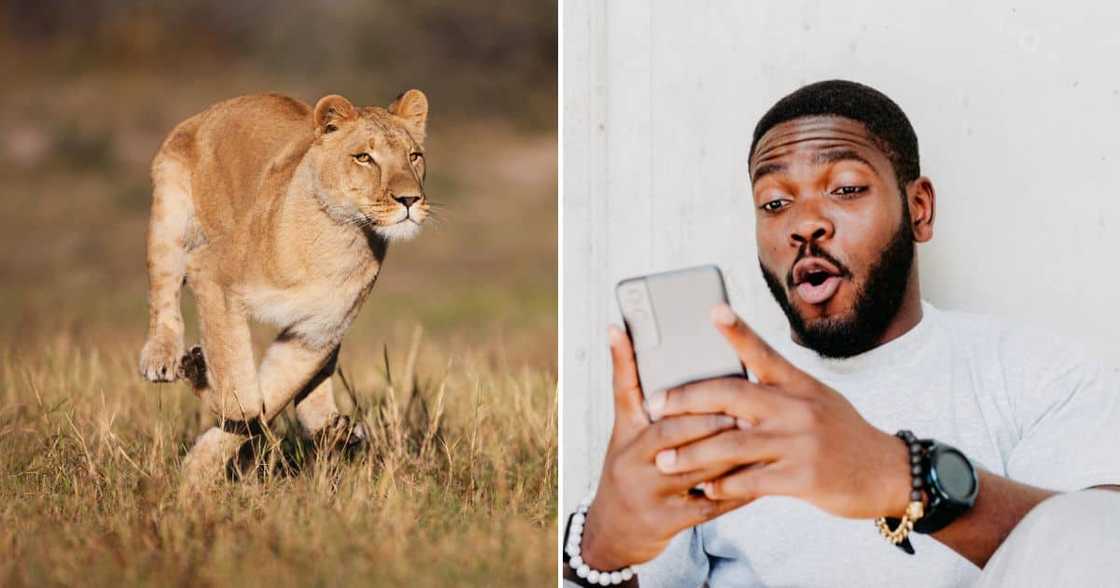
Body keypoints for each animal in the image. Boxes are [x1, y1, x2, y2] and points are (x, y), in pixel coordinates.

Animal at [137, 90, 430, 484]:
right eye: (364, 158)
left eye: (414, 156)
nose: (409, 200)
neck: (339, 239)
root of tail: (212, 110)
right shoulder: (212, 272)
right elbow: (245, 399)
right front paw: (198, 372)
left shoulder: (316, 332)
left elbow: (269, 398)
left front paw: (197, 469)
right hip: (171, 216)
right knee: (163, 293)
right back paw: (163, 356)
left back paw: (334, 428)